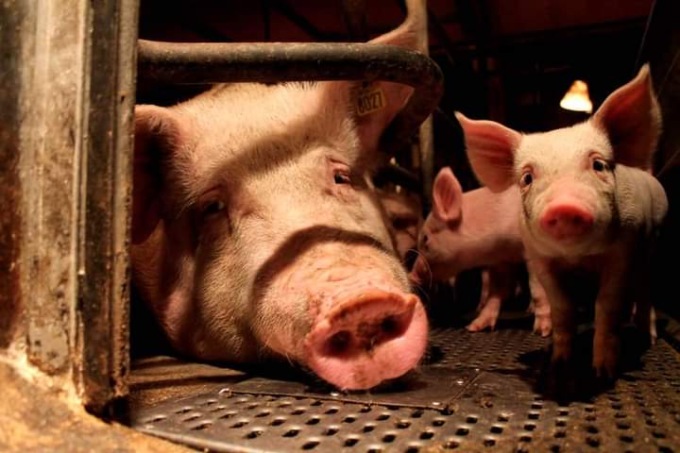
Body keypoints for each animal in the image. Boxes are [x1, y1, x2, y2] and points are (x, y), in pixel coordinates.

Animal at [410, 167, 552, 335]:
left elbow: (538, 290)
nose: (411, 275)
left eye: (425, 238)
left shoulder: (533, 254)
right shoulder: (501, 260)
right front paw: (473, 327)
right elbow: (497, 292)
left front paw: (542, 331)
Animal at [458, 64, 667, 379]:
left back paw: (648, 336)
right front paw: (559, 364)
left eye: (598, 165)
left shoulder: (623, 252)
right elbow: (562, 308)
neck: (578, 257)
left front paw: (603, 372)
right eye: (527, 178)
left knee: (645, 289)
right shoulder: (540, 259)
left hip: (651, 245)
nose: (564, 204)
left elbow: (606, 305)